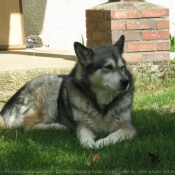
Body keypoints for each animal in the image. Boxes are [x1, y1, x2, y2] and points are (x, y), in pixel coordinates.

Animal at [0, 35, 136, 149]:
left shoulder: (128, 127)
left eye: (122, 67)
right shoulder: (83, 125)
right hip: (52, 84)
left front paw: (102, 142)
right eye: (108, 67)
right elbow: (83, 135)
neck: (102, 105)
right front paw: (88, 143)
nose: (126, 81)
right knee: (28, 126)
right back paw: (57, 126)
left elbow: (115, 135)